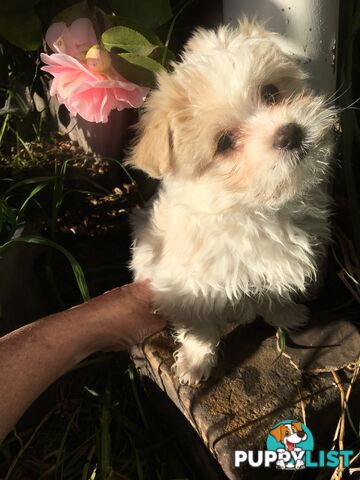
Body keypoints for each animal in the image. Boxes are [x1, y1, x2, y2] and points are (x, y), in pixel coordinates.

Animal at [126, 20, 334, 386]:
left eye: (271, 93)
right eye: (224, 143)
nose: (290, 133)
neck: (256, 210)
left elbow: (274, 293)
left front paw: (286, 314)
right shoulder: (187, 288)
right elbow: (199, 329)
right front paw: (195, 364)